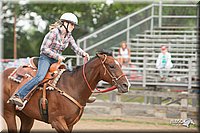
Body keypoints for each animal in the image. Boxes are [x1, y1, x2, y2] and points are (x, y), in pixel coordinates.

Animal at [1, 50, 130, 132]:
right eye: (111, 66)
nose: (126, 85)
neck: (73, 86)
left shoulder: (70, 124)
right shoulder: (57, 121)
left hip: (26, 117)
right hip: (9, 113)